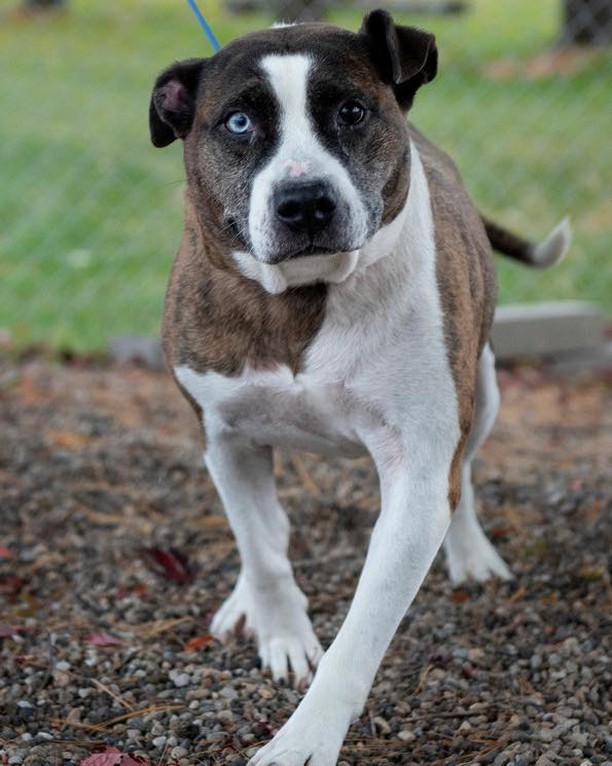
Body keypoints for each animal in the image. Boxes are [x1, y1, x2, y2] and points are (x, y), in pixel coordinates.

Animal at [148, 9, 568, 764]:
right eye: (237, 123)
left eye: (351, 111)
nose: (304, 201)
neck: (302, 300)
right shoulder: (224, 437)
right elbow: (263, 551)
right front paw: (281, 632)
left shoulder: (418, 469)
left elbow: (360, 636)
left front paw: (303, 738)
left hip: (484, 392)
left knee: (465, 475)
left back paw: (470, 553)